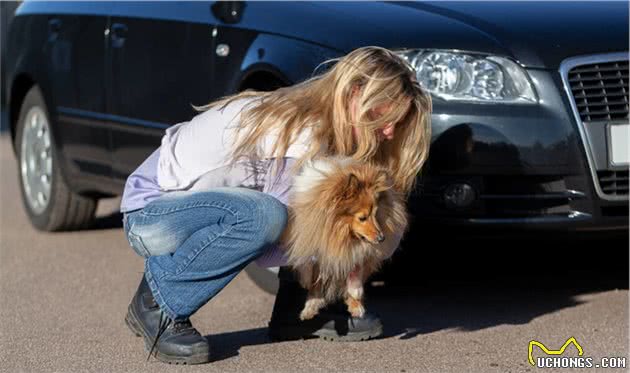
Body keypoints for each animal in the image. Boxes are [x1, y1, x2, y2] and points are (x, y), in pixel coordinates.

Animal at [282, 157, 410, 320]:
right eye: (362, 218)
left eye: (376, 214)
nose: (382, 238)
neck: (341, 233)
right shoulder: (319, 251)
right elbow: (315, 281)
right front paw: (310, 307)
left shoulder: (356, 254)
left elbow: (354, 277)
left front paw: (356, 303)